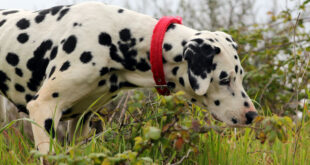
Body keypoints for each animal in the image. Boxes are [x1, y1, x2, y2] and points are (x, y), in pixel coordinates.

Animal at [0, 1, 256, 155]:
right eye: (224, 79)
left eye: (240, 76)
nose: (252, 115)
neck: (113, 36)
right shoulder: (44, 108)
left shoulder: (82, 120)